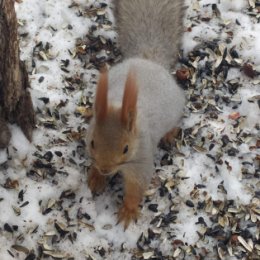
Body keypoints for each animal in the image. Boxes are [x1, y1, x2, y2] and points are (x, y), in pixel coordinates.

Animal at [86, 0, 186, 229]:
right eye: (93, 142)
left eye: (126, 148)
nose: (105, 169)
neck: (116, 105)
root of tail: (148, 61)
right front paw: (95, 177)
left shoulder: (141, 160)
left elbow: (136, 187)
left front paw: (128, 211)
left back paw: (169, 134)